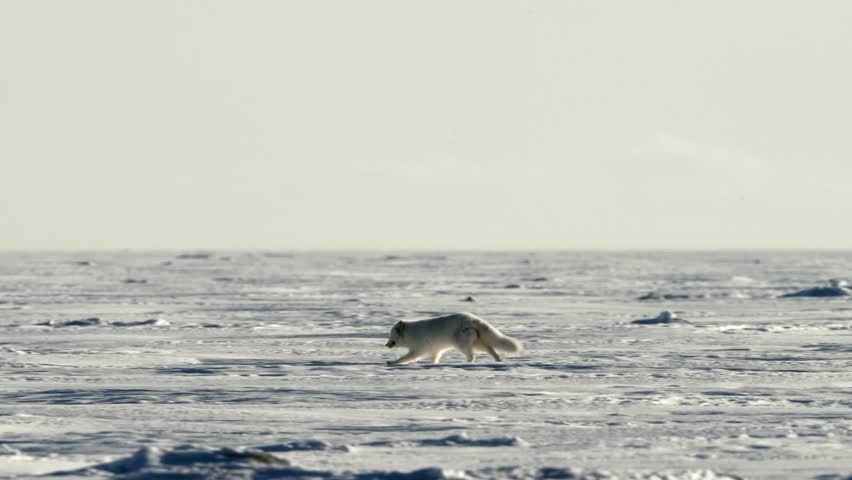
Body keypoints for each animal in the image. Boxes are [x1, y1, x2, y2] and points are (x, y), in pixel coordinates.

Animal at [384, 312, 523, 365]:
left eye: (391, 334)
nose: (386, 345)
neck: (410, 334)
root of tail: (474, 319)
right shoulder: (435, 350)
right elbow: (435, 358)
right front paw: (433, 364)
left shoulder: (418, 350)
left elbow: (405, 358)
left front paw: (392, 362)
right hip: (478, 343)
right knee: (490, 349)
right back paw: (498, 360)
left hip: (461, 344)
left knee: (472, 355)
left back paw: (466, 362)